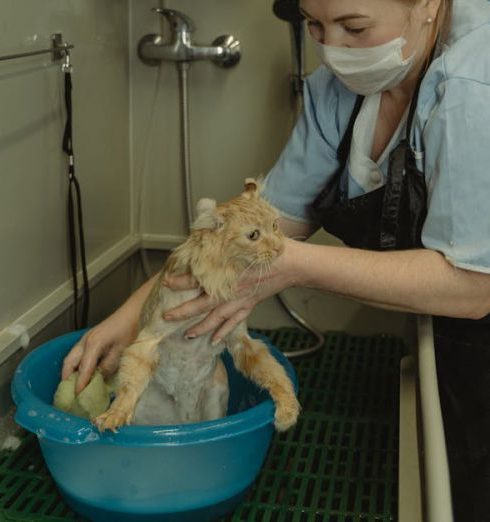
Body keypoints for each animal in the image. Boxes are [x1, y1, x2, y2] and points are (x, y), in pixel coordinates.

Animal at [92, 179, 298, 430]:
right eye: (253, 235)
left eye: (275, 225)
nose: (280, 248)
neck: (222, 276)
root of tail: (183, 420)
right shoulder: (148, 339)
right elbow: (129, 386)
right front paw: (116, 413)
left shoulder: (241, 340)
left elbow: (273, 371)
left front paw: (288, 407)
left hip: (215, 395)